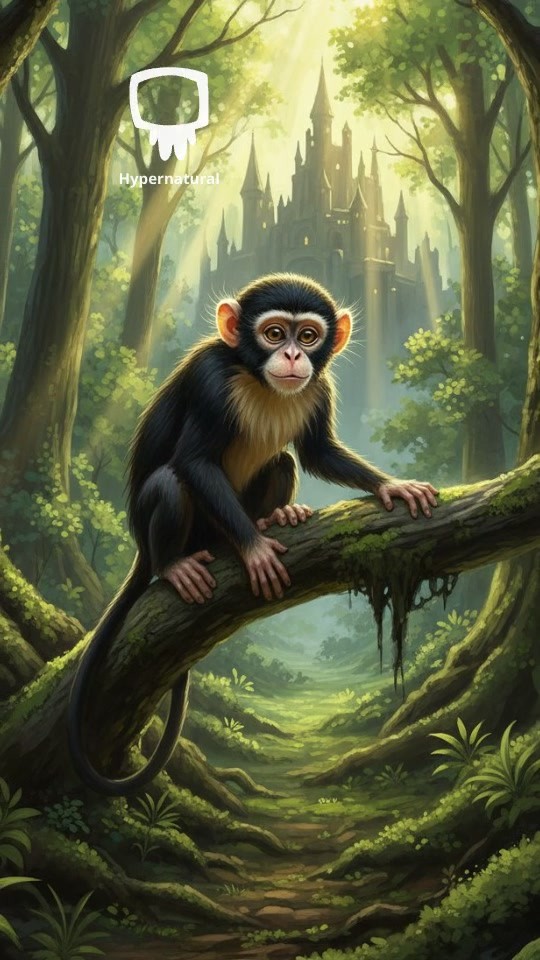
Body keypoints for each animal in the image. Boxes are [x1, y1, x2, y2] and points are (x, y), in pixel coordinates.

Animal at [68, 272, 438, 795]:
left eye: (308, 336)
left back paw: (275, 516)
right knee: (170, 483)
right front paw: (255, 549)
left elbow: (319, 452)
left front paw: (393, 486)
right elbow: (196, 460)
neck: (255, 376)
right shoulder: (209, 380)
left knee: (282, 461)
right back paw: (176, 564)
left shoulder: (320, 388)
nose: (293, 356)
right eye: (274, 334)